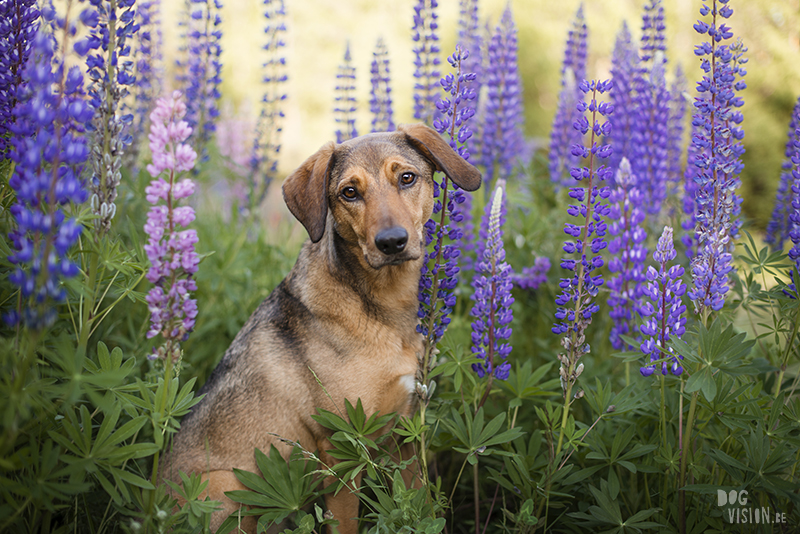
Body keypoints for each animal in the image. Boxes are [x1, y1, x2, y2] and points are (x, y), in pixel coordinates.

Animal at [159, 123, 478, 532]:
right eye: (349, 192)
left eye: (407, 178)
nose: (392, 242)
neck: (383, 306)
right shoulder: (343, 445)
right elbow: (345, 523)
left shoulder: (405, 431)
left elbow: (418, 504)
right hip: (227, 487)